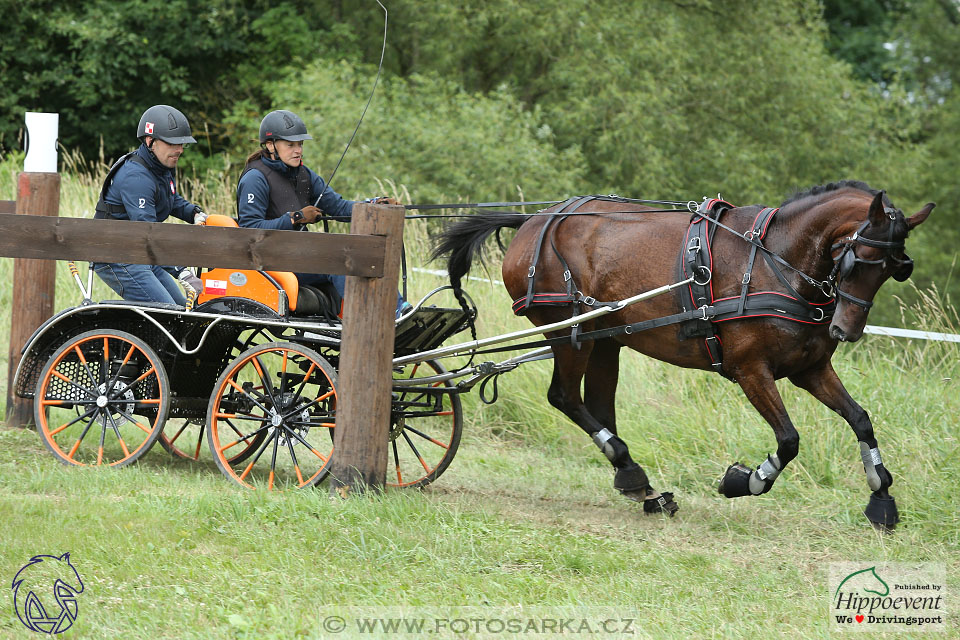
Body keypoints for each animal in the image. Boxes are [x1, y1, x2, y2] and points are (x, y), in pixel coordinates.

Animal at [434, 181, 928, 528]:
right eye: (857, 257)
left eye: (895, 269)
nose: (846, 330)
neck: (775, 261)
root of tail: (536, 221)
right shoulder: (750, 370)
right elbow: (789, 440)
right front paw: (744, 480)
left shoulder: (809, 369)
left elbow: (861, 419)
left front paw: (881, 498)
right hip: (570, 332)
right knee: (565, 398)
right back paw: (634, 476)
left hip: (606, 339)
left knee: (596, 405)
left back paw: (639, 483)